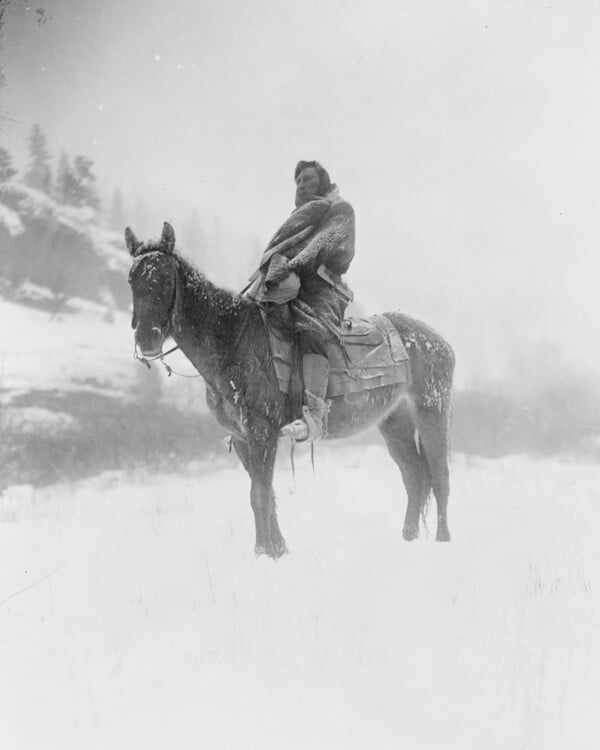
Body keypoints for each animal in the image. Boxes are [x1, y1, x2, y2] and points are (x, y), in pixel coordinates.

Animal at [126, 222, 454, 560]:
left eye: (166, 278)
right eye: (132, 279)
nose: (147, 340)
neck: (233, 342)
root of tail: (437, 340)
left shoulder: (262, 434)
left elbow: (259, 495)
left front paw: (263, 552)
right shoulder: (242, 438)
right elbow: (264, 494)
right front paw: (276, 550)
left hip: (433, 410)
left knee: (439, 474)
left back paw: (443, 540)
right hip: (393, 421)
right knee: (414, 475)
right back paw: (408, 539)